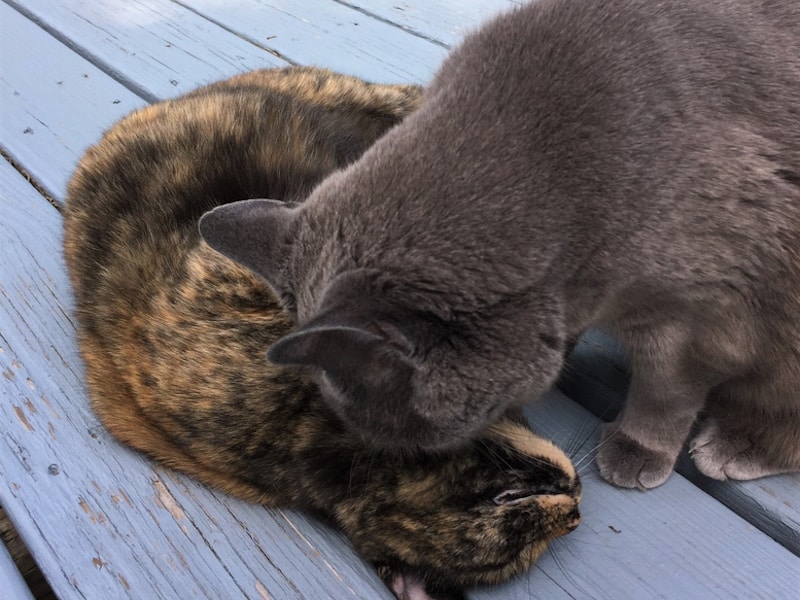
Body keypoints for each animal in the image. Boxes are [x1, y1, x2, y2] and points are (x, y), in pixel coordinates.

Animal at [200, 0, 800, 490]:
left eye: (393, 418)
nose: (397, 453)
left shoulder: (703, 309)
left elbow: (666, 390)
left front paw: (637, 449)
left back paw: (736, 447)